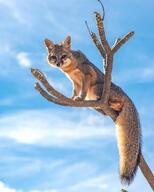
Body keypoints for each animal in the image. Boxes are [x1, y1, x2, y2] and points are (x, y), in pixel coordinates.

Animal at [43, 35, 141, 184]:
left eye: (63, 56)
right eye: (54, 57)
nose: (59, 63)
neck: (71, 69)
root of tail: (126, 95)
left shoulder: (87, 74)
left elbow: (82, 91)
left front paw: (79, 97)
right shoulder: (74, 82)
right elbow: (75, 91)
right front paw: (72, 98)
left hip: (95, 89)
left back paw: (112, 103)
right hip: (93, 98)